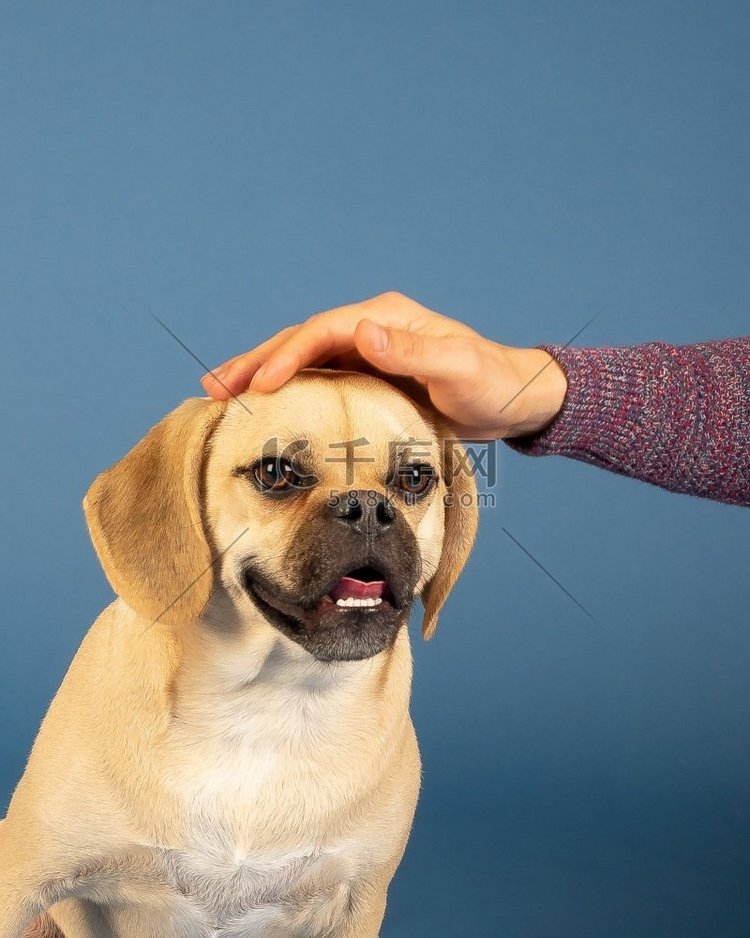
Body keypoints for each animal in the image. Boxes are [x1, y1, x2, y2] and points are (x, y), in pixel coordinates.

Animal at [1, 370, 476, 932]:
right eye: (275, 472)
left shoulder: (357, 902)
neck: (267, 700)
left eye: (414, 479)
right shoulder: (22, 879)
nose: (368, 510)